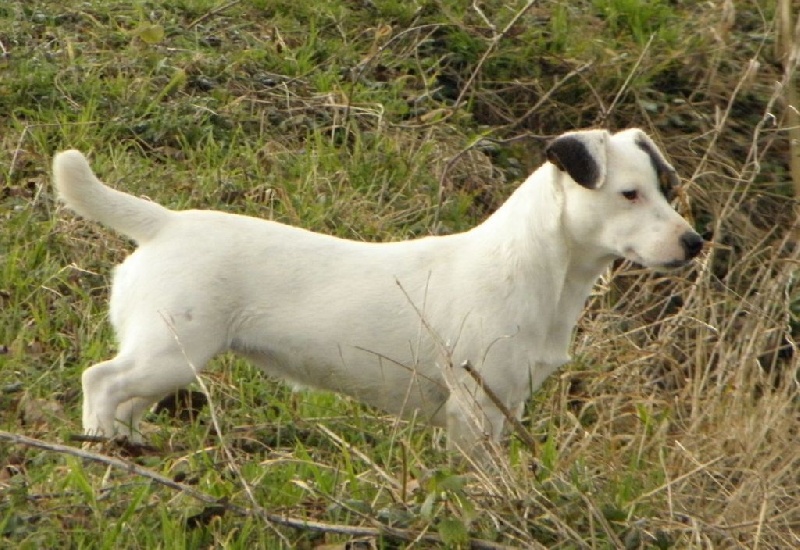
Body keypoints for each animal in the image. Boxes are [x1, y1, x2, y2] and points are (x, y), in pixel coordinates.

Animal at [51, 128, 700, 458]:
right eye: (628, 194)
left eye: (664, 188)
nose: (694, 242)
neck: (540, 271)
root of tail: (164, 223)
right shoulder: (471, 408)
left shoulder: (506, 404)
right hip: (170, 351)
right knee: (101, 381)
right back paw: (98, 445)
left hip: (168, 361)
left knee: (127, 400)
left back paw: (129, 445)